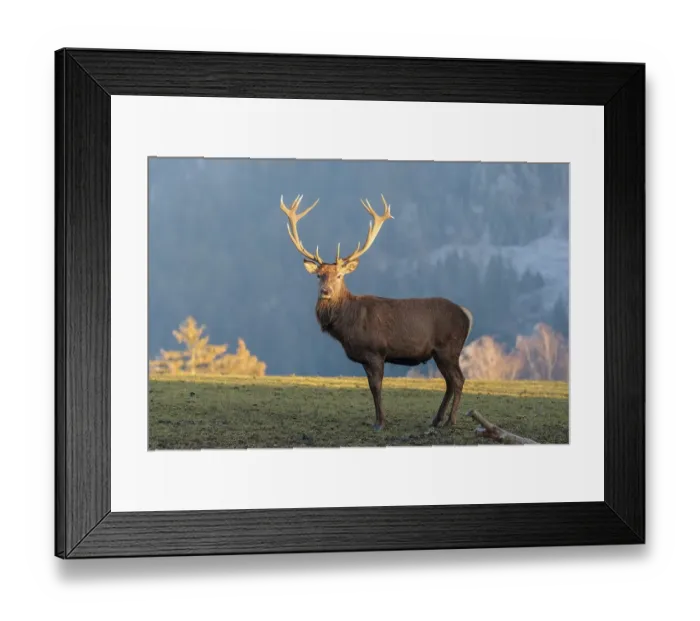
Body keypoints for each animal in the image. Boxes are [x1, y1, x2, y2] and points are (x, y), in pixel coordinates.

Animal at [280, 194, 474, 432]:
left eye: (339, 275)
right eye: (319, 275)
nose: (325, 292)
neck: (346, 325)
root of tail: (467, 314)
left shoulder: (376, 351)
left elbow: (376, 387)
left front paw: (380, 422)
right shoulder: (365, 358)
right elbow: (371, 388)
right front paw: (377, 420)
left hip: (449, 348)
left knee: (458, 379)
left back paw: (450, 421)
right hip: (440, 352)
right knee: (449, 382)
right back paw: (437, 419)